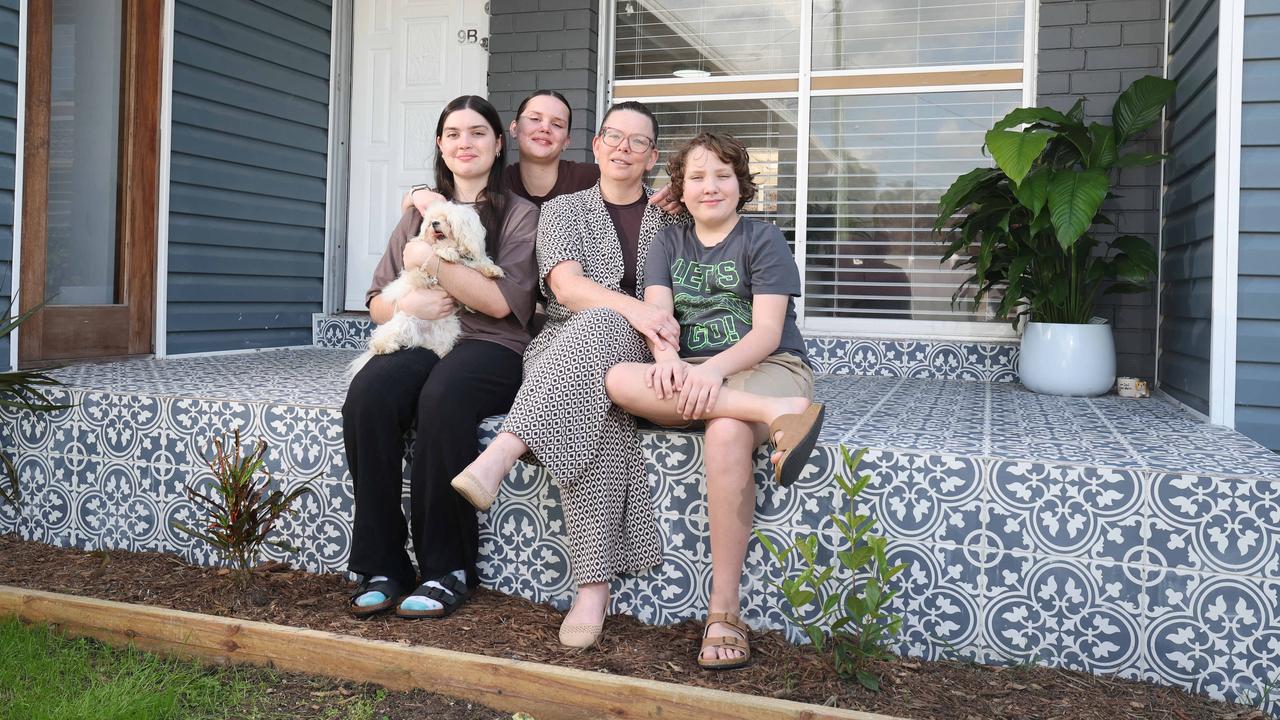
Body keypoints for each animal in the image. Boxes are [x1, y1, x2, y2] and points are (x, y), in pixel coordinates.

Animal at [353, 199, 506, 376]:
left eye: (447, 220)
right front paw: (447, 252)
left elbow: (479, 264)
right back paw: (383, 346)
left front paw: (493, 271)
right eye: (432, 219)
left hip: (448, 332)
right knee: (385, 333)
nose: (434, 223)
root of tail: (424, 338)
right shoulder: (419, 272)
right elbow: (436, 251)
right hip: (405, 318)